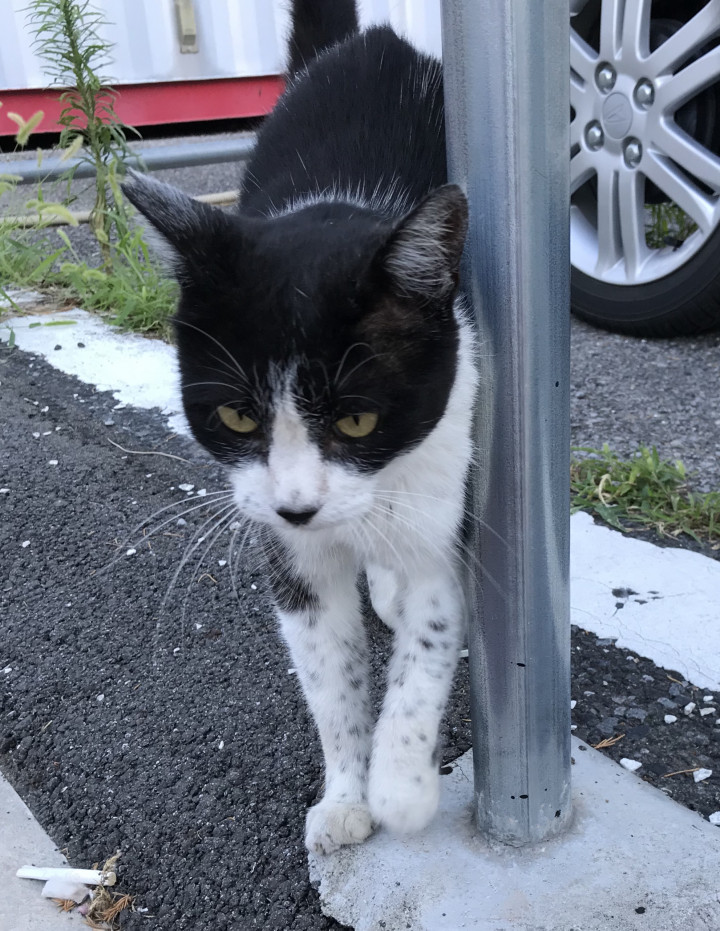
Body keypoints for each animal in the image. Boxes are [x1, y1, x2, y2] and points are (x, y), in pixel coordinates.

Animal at [124, 0, 478, 860]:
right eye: (237, 415)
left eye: (355, 418)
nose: (296, 505)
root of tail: (365, 43)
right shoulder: (292, 555)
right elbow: (329, 673)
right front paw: (346, 795)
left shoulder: (443, 475)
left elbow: (428, 638)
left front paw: (401, 786)